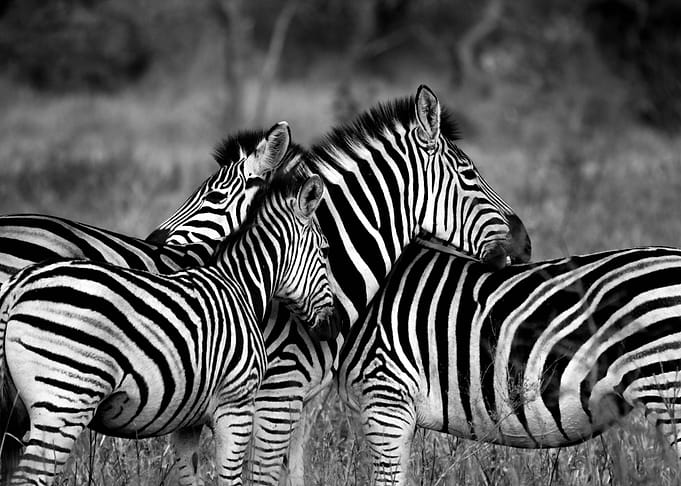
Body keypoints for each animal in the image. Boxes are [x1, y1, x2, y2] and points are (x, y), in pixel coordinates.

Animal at [0, 170, 336, 486]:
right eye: (324, 250)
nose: (334, 326)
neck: (239, 285)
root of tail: (16, 288)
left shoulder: (189, 419)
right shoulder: (237, 404)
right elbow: (231, 478)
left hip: (17, 413)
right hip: (64, 402)